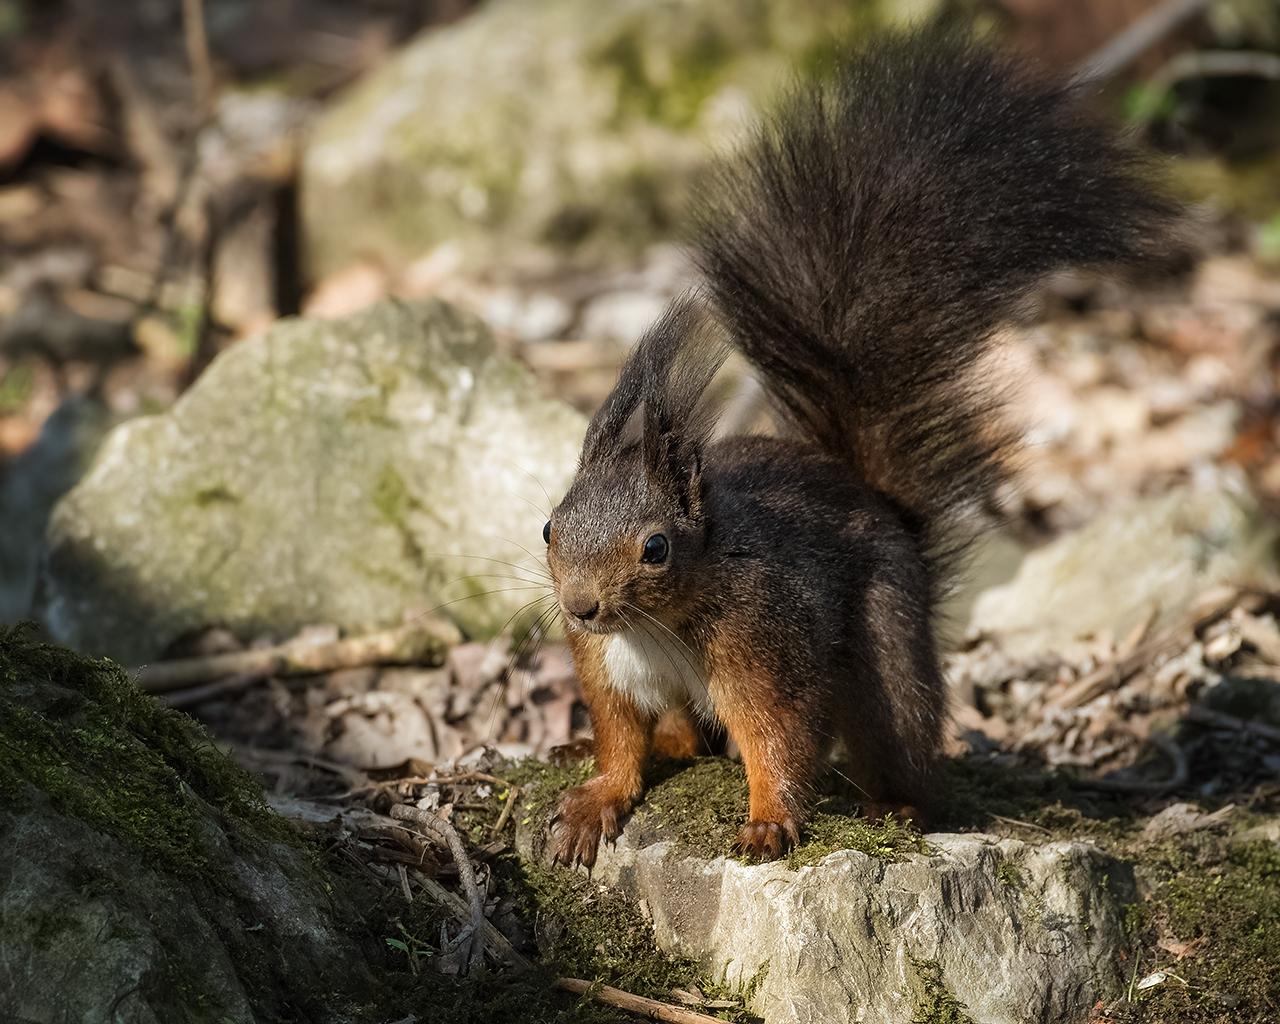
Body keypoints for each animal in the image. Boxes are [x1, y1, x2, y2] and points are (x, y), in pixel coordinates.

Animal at [537, 32, 1177, 865]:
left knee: (903, 742)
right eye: (548, 528)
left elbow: (778, 736)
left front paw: (769, 821)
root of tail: (875, 499)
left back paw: (900, 807)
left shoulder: (768, 647)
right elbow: (620, 743)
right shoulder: (607, 673)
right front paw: (595, 797)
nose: (580, 607)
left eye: (656, 549)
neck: (654, 627)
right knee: (686, 739)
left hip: (887, 653)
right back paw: (603, 747)